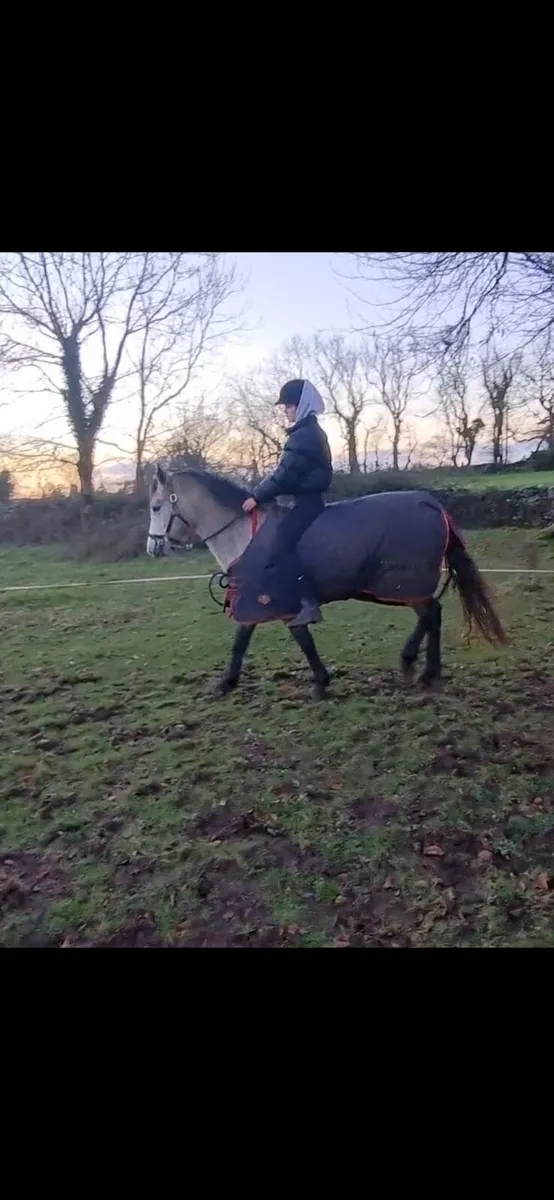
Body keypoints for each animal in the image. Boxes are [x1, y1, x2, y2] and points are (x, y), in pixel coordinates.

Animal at [147, 464, 507, 698]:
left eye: (155, 506)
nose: (153, 547)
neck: (243, 534)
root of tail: (431, 504)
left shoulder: (268, 598)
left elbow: (277, 639)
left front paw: (318, 682)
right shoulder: (261, 599)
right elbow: (259, 639)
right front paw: (229, 682)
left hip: (405, 584)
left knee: (432, 614)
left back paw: (426, 672)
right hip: (407, 587)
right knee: (430, 614)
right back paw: (412, 664)